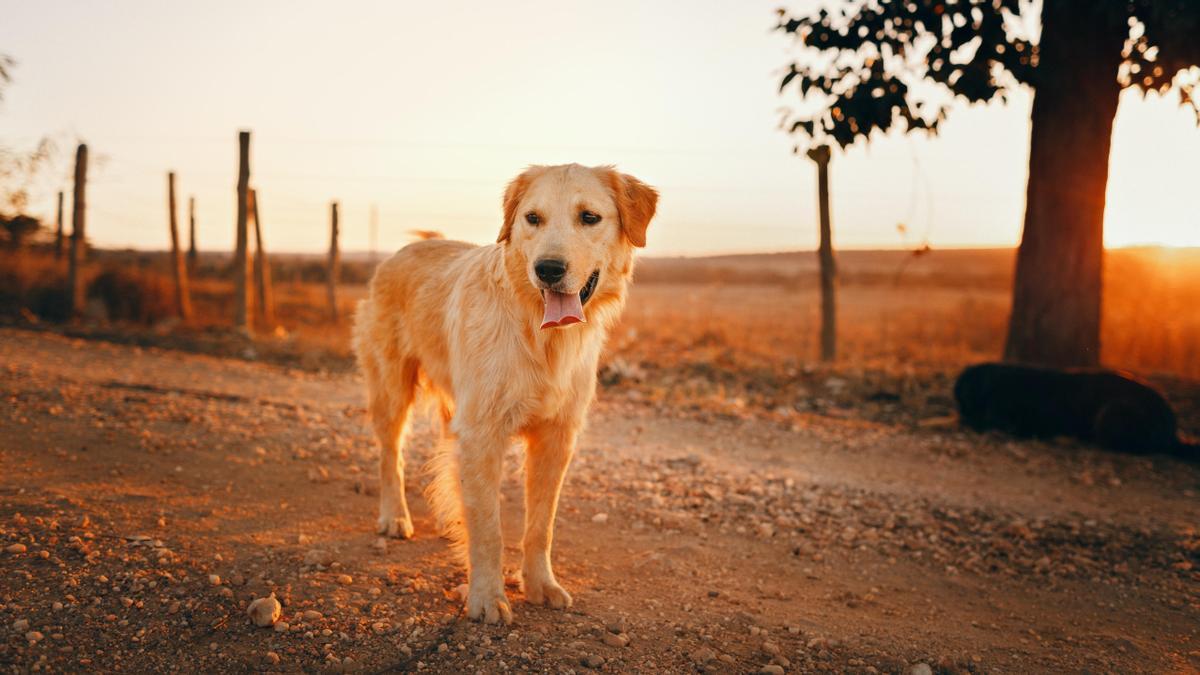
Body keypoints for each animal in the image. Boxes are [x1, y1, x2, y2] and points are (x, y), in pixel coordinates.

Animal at [350, 162, 662, 619]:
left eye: (589, 217)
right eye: (532, 218)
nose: (548, 268)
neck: (541, 335)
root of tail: (408, 248)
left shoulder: (556, 439)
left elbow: (540, 526)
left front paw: (540, 584)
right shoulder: (482, 433)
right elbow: (488, 527)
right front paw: (485, 596)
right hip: (392, 389)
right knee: (392, 455)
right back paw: (395, 517)